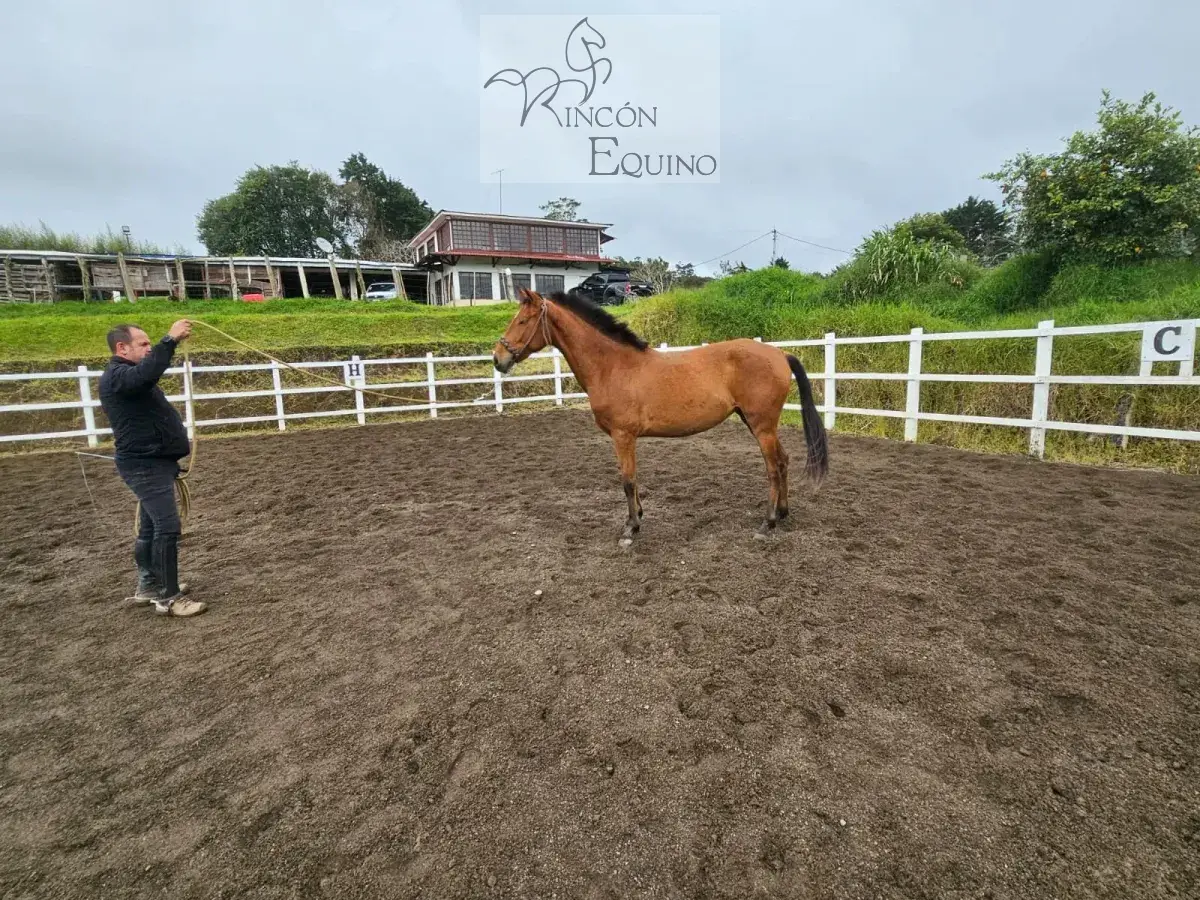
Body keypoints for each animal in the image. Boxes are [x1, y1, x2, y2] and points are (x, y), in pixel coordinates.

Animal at [492, 288, 829, 546]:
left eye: (522, 320)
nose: (498, 358)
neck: (613, 367)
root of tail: (780, 354)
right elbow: (633, 478)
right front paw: (637, 517)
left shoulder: (623, 436)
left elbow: (627, 480)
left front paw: (630, 529)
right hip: (758, 423)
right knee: (783, 461)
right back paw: (783, 514)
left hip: (761, 426)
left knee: (772, 468)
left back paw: (767, 523)